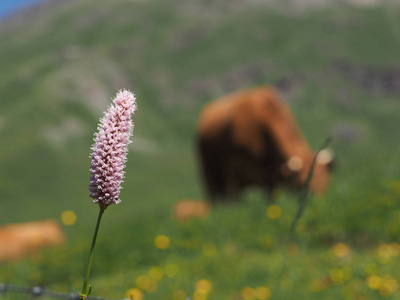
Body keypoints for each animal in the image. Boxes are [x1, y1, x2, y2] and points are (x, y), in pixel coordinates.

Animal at [195, 85, 332, 203]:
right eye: (303, 183)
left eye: (326, 182)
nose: (317, 200)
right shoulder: (234, 170)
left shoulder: (271, 176)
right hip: (209, 173)